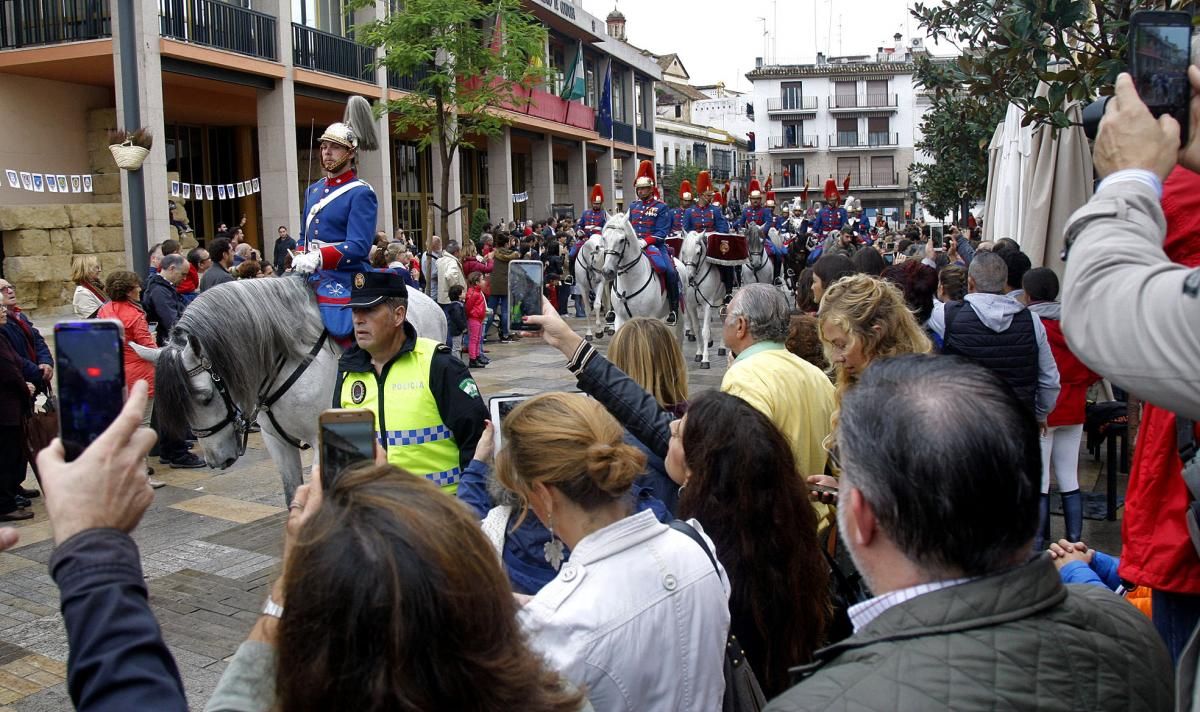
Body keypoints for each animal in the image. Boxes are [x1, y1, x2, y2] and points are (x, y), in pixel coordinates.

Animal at [150, 274, 448, 501]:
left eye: (205, 397)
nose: (215, 460)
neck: (287, 356)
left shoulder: (321, 439)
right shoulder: (276, 441)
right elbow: (293, 495)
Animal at [681, 231, 724, 369]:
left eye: (698, 252)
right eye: (683, 251)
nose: (688, 277)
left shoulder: (707, 304)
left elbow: (704, 331)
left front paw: (705, 359)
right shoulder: (690, 305)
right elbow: (696, 328)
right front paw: (699, 353)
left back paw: (722, 347)